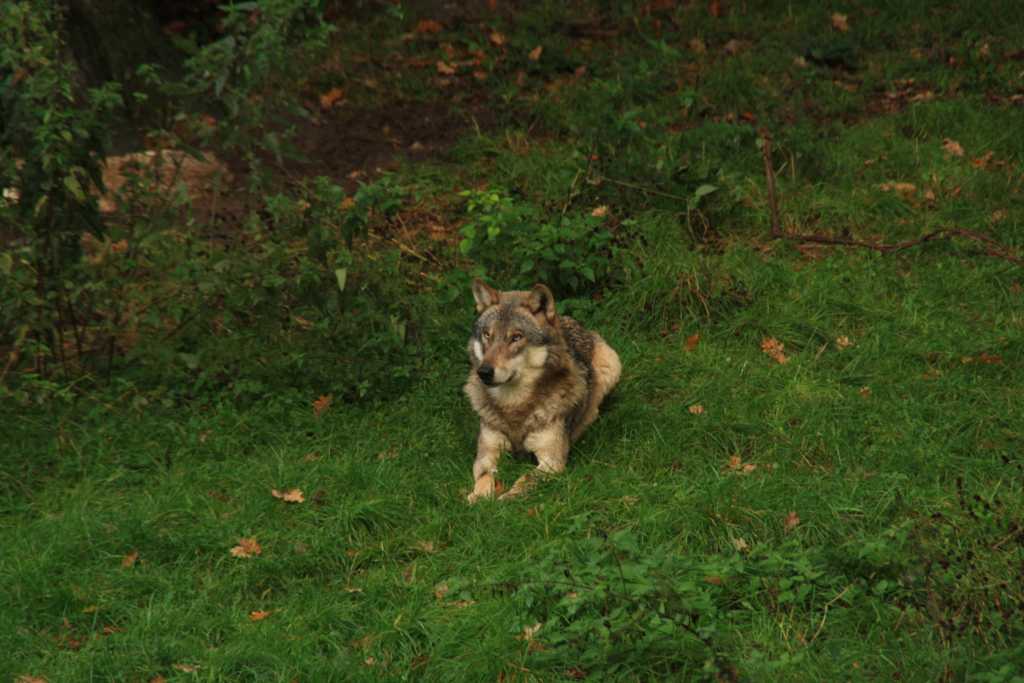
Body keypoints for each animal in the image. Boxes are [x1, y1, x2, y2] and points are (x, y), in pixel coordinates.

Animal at [466, 278, 622, 501]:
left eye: (516, 337)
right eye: (487, 335)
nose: (484, 372)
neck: (514, 405)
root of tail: (569, 320)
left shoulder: (551, 462)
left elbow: (525, 480)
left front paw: (506, 498)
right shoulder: (486, 455)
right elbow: (485, 476)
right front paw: (478, 497)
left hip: (612, 364)